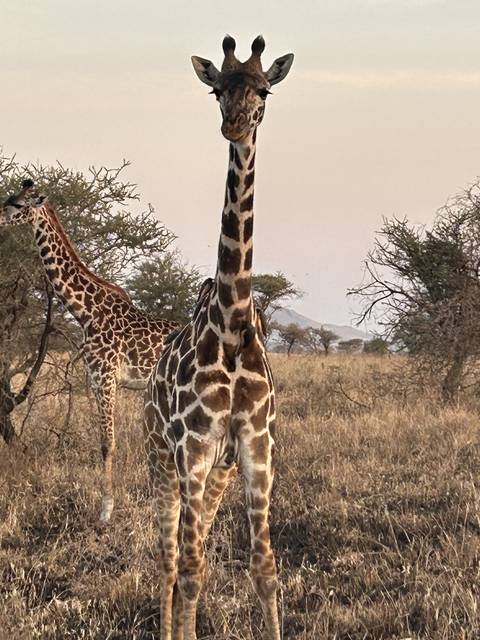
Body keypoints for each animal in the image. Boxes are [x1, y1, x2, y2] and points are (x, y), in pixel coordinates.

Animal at [0, 181, 178, 523]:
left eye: (16, 204)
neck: (86, 312)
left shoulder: (106, 377)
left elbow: (108, 443)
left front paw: (105, 512)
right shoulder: (96, 379)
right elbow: (104, 441)